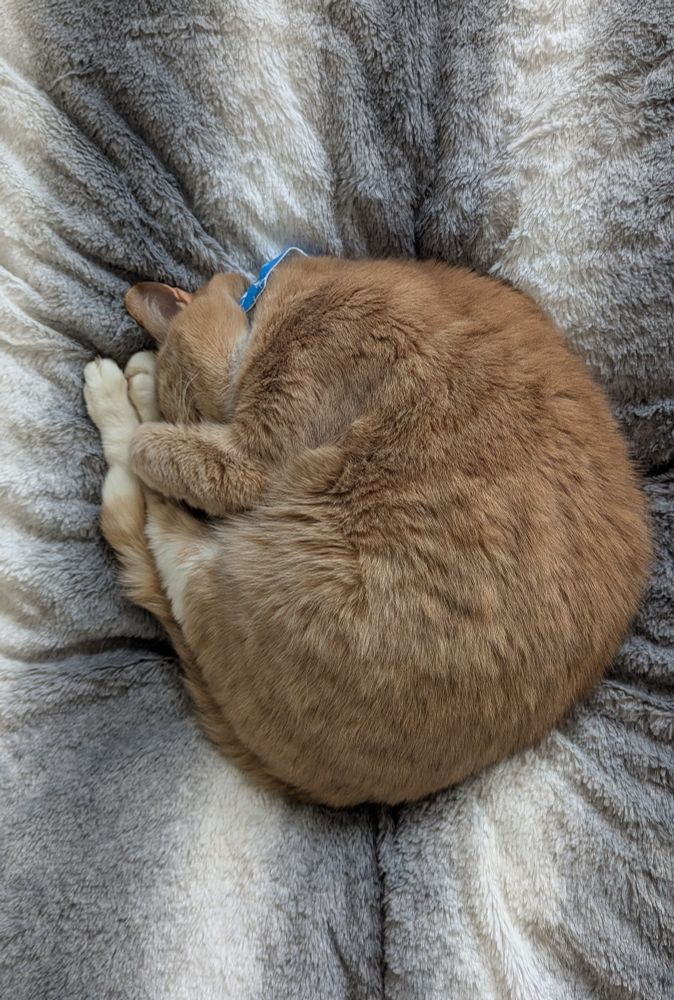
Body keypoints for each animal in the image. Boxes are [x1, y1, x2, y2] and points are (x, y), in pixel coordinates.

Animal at [84, 255, 651, 807]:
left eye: (199, 414)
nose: (202, 512)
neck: (286, 293)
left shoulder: (248, 459)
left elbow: (150, 444)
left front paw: (143, 404)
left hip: (260, 574)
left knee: (148, 525)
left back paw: (115, 395)